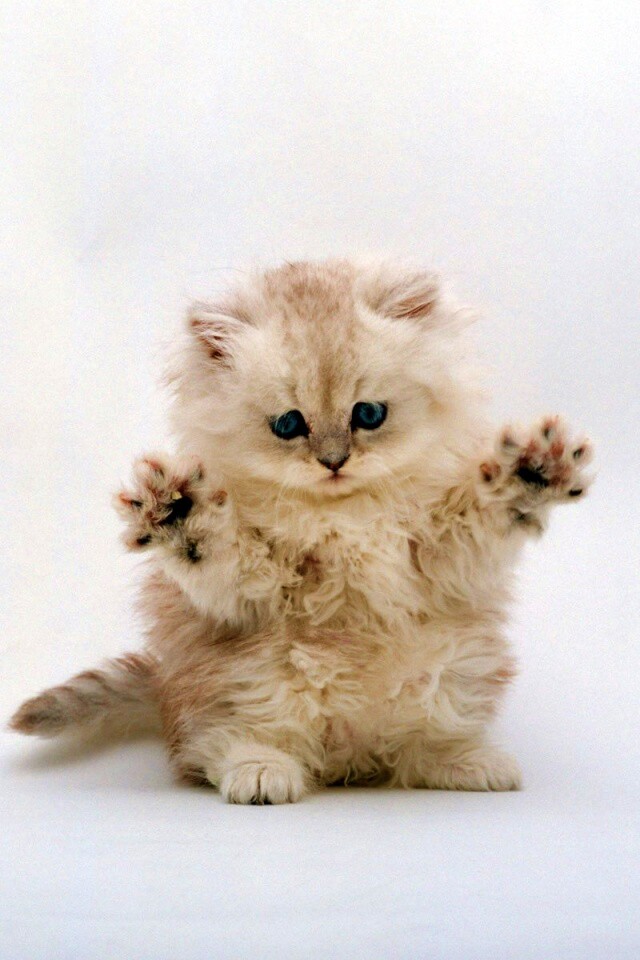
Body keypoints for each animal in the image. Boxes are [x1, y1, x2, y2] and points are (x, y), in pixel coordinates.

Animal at [9, 258, 593, 803]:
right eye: (289, 424)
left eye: (369, 414)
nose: (333, 462)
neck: (343, 517)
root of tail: (350, 757)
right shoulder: (249, 587)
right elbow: (214, 553)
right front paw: (177, 511)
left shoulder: (442, 554)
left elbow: (484, 515)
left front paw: (532, 472)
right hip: (235, 677)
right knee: (218, 744)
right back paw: (261, 772)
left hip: (457, 666)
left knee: (414, 753)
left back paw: (467, 764)